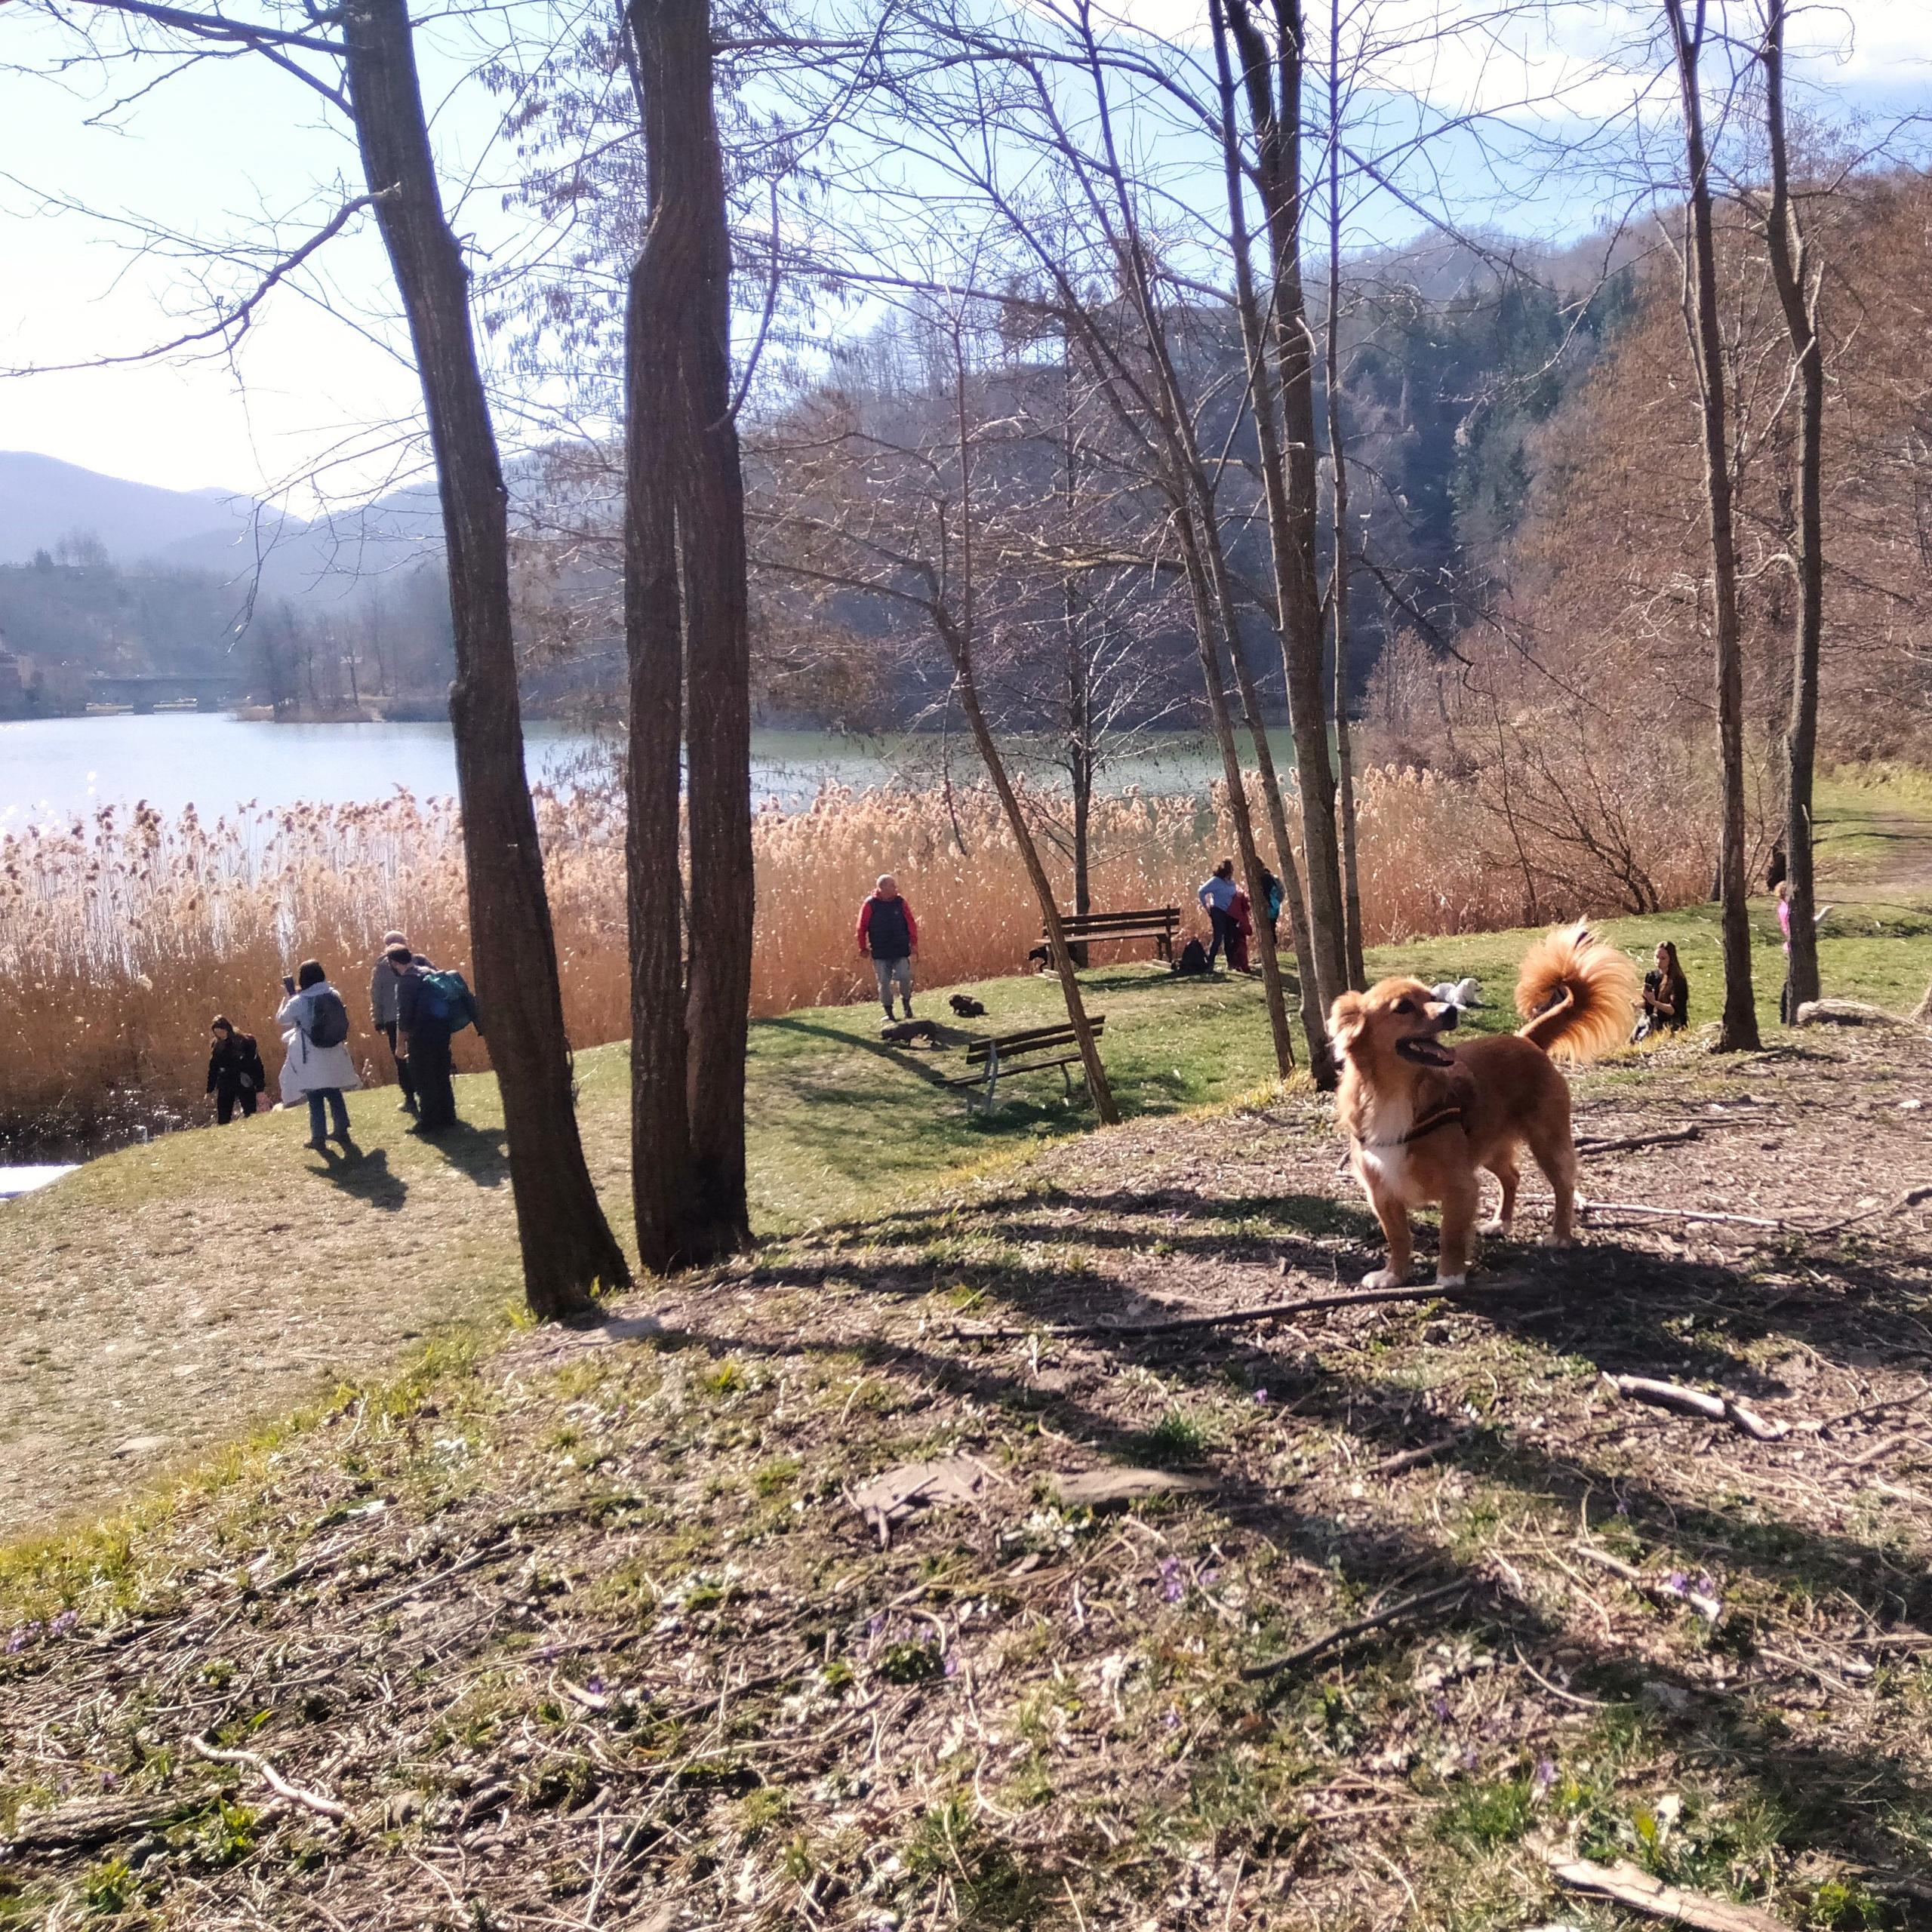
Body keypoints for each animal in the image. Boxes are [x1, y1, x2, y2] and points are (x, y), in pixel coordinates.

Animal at [1337, 923, 1638, 1291]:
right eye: (1403, 1007)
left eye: (1433, 998)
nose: (1451, 1012)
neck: (1394, 1091)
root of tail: (1526, 1039)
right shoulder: (1381, 1191)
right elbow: (1398, 1238)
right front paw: (1393, 1274)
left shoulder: (1460, 1185)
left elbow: (1451, 1235)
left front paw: (1450, 1275)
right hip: (1490, 1146)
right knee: (1512, 1176)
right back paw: (1501, 1223)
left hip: (1547, 1141)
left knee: (1564, 1186)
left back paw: (1560, 1236)